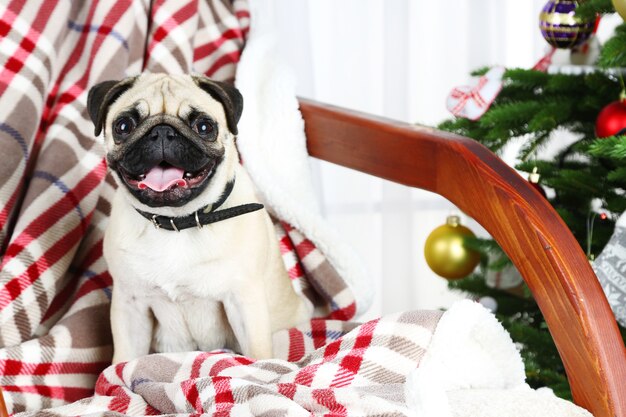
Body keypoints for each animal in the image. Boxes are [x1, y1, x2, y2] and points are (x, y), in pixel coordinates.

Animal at [86, 73, 310, 362]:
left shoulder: (244, 299)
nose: (162, 132)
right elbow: (124, 359)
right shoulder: (130, 305)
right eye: (124, 126)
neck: (176, 222)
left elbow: (258, 353)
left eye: (204, 126)